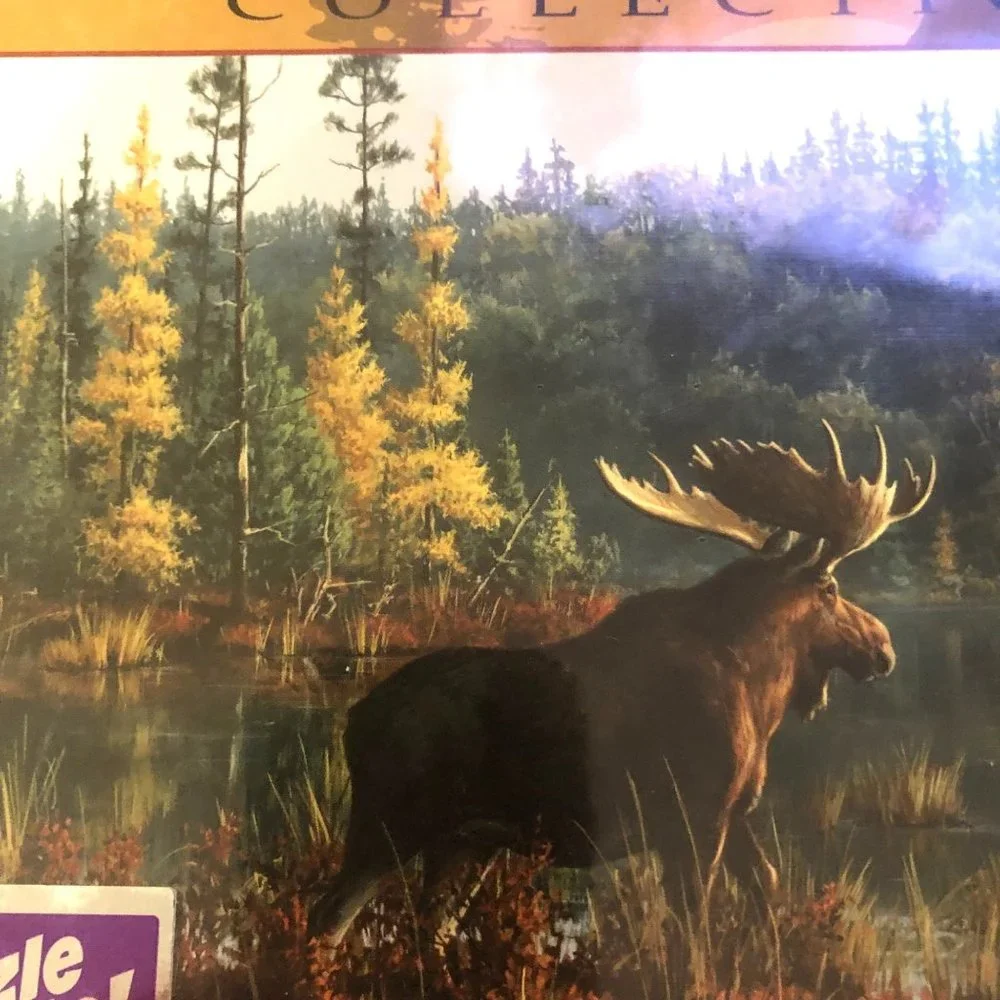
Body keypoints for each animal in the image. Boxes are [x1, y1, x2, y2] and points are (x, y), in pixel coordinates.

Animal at [306, 420, 936, 949]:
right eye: (830, 588)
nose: (884, 647)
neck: (761, 691)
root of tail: (355, 720)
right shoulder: (695, 816)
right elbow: (695, 930)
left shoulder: (733, 813)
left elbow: (767, 886)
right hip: (388, 823)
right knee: (328, 918)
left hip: (462, 841)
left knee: (429, 928)